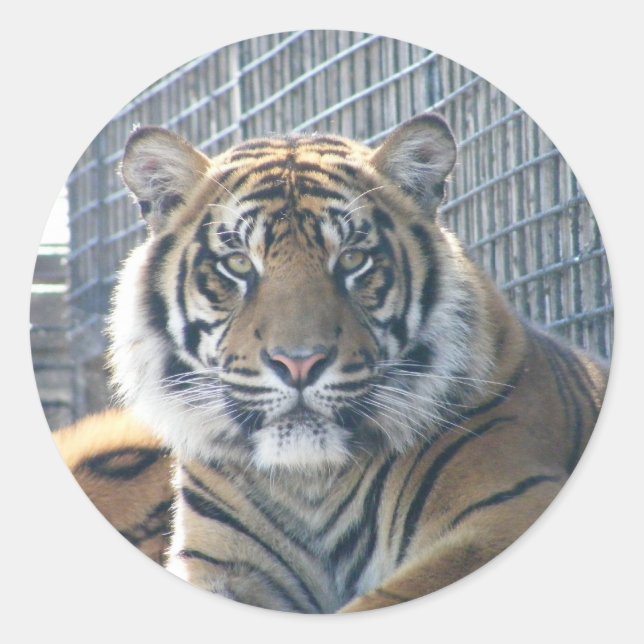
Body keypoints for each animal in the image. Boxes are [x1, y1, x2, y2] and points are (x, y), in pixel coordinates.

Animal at [54, 113, 608, 613]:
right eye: (238, 264)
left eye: (352, 260)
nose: (299, 363)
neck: (309, 484)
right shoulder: (220, 564)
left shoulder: (503, 511)